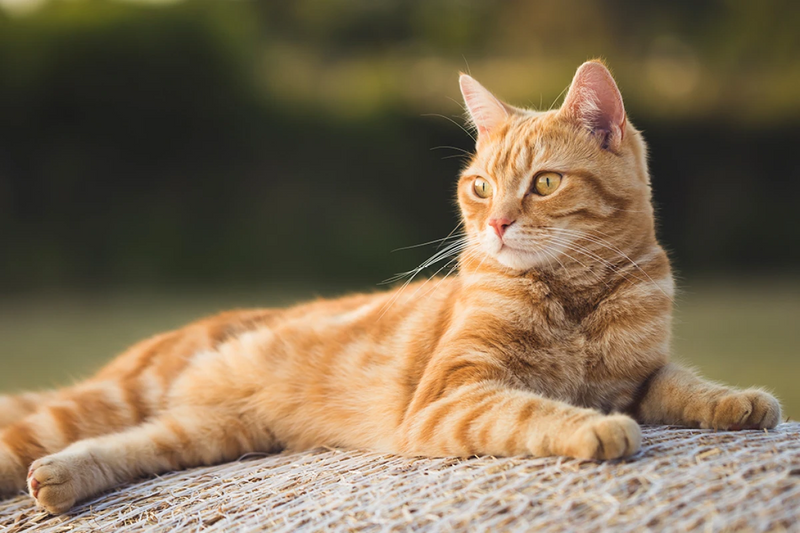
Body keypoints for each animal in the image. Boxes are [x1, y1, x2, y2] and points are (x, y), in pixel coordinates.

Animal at [0, 60, 780, 512]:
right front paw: (593, 428)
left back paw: (59, 482)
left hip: (207, 430)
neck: (577, 296)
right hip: (102, 402)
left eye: (545, 184)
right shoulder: (453, 396)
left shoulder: (641, 376)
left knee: (128, 447)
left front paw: (740, 402)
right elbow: (532, 410)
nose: (496, 224)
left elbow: (687, 383)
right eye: (478, 186)